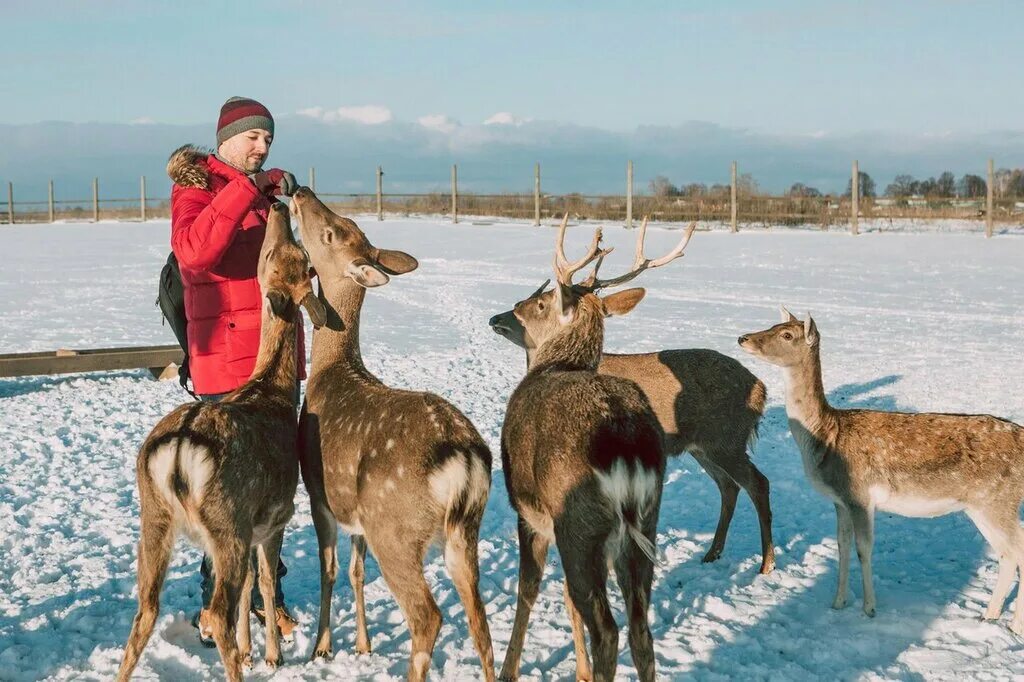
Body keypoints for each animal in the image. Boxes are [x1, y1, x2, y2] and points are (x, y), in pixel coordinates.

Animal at [119, 201, 327, 679]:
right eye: (281, 255)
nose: (278, 204)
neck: (274, 390)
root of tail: (179, 448)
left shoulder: (252, 527)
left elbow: (251, 585)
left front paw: (256, 651)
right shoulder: (276, 516)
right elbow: (264, 581)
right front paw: (271, 655)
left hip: (154, 515)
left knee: (146, 609)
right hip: (225, 518)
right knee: (216, 613)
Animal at [288, 187, 495, 679]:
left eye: (330, 233)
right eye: (345, 224)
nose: (301, 191)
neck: (331, 371)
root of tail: (464, 459)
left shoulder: (320, 493)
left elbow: (329, 570)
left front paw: (322, 647)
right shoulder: (356, 514)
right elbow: (357, 571)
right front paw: (363, 645)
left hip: (395, 527)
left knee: (428, 616)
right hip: (464, 530)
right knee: (480, 622)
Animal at [489, 218, 774, 573]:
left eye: (540, 303)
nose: (496, 318)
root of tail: (762, 389)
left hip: (726, 437)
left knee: (758, 484)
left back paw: (766, 563)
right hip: (704, 445)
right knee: (729, 486)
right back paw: (712, 553)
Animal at [495, 215, 696, 679]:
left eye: (540, 304)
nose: (498, 316)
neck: (557, 362)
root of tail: (625, 449)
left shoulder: (528, 511)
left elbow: (528, 589)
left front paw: (507, 669)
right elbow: (566, 598)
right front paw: (579, 669)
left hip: (579, 522)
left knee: (608, 630)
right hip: (645, 521)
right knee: (640, 628)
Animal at [741, 307, 1024, 630]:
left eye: (787, 335)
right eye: (773, 325)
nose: (743, 338)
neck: (826, 437)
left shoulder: (860, 495)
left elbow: (864, 549)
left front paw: (869, 608)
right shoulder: (840, 501)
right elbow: (842, 546)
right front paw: (838, 602)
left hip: (998, 501)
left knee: (1018, 550)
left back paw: (1015, 625)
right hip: (982, 505)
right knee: (1006, 554)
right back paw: (989, 615)